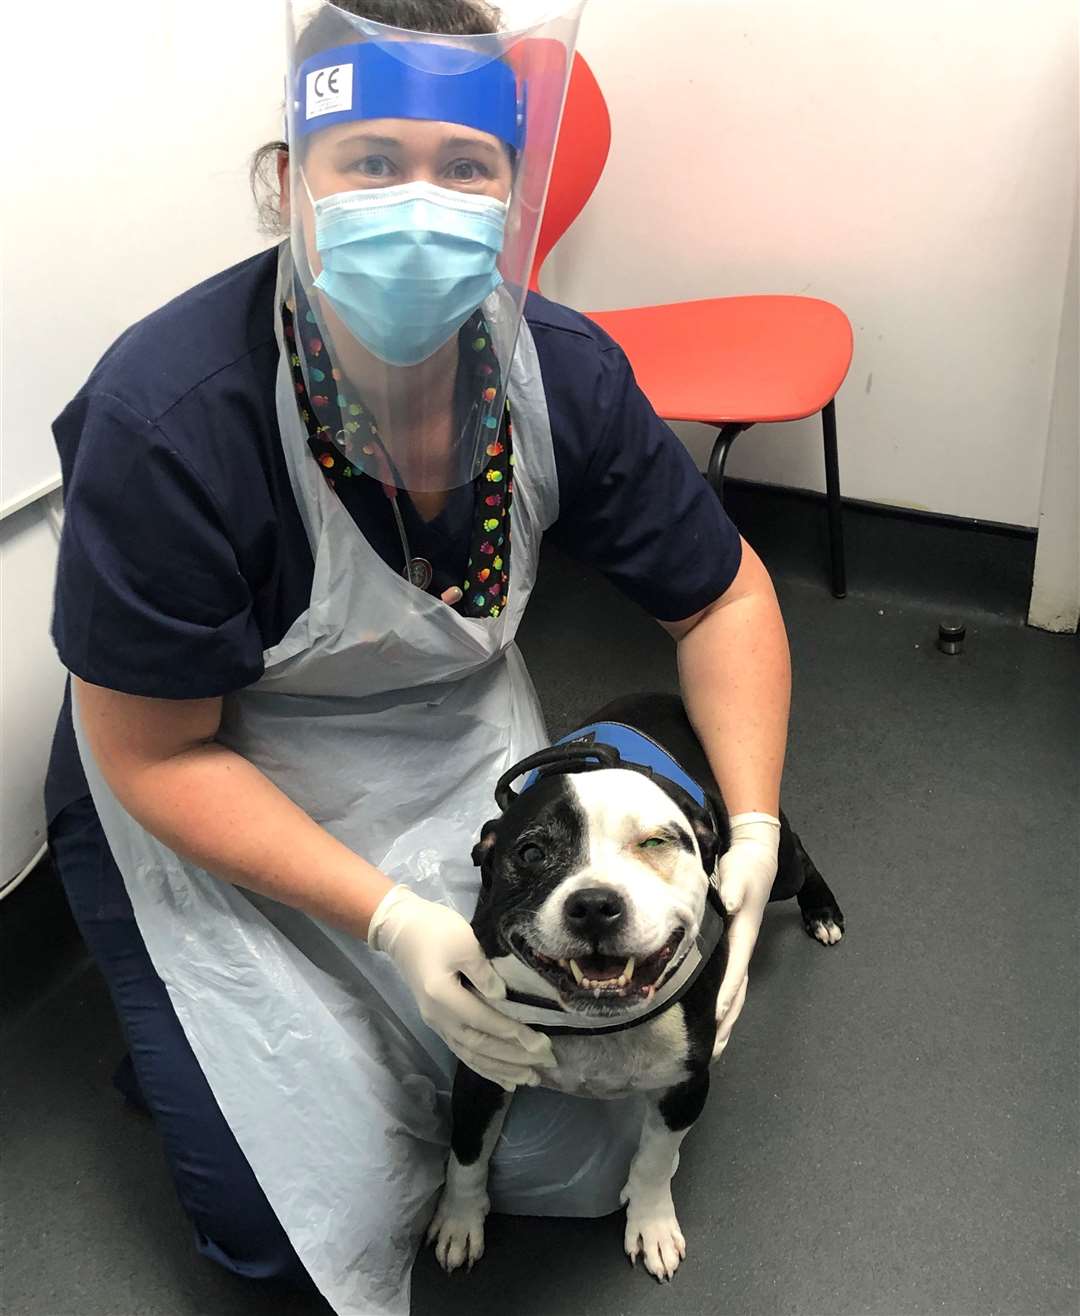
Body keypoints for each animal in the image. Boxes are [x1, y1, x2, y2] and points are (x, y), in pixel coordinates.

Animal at [428, 694, 841, 1279]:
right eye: (531, 853)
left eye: (655, 843)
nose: (595, 904)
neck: (595, 1026)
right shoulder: (481, 1065)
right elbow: (466, 1153)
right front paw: (459, 1220)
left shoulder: (686, 1086)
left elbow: (654, 1160)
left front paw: (651, 1223)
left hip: (775, 862)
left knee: (796, 858)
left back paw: (822, 911)